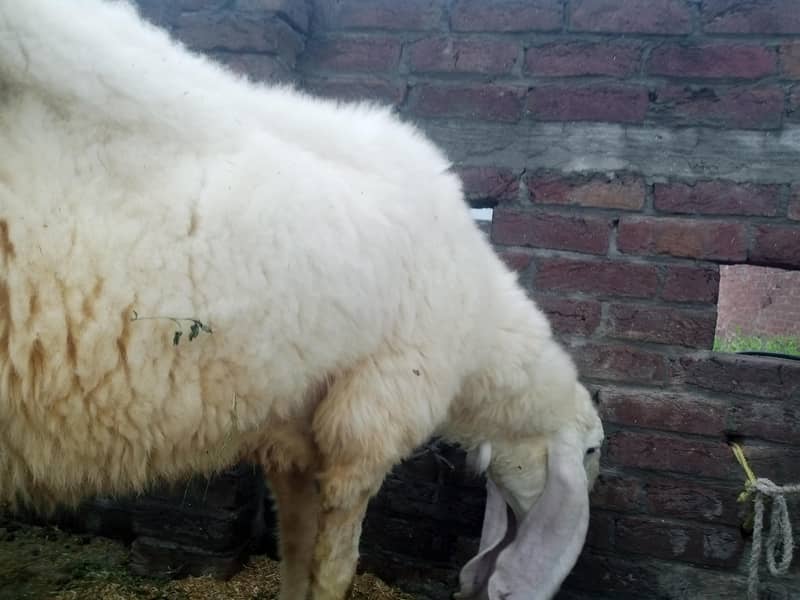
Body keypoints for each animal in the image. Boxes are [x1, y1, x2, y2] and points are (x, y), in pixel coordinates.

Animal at [0, 1, 604, 599]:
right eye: (592, 452)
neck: (479, 321)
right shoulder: (368, 425)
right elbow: (336, 565)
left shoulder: (295, 437)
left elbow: (295, 549)